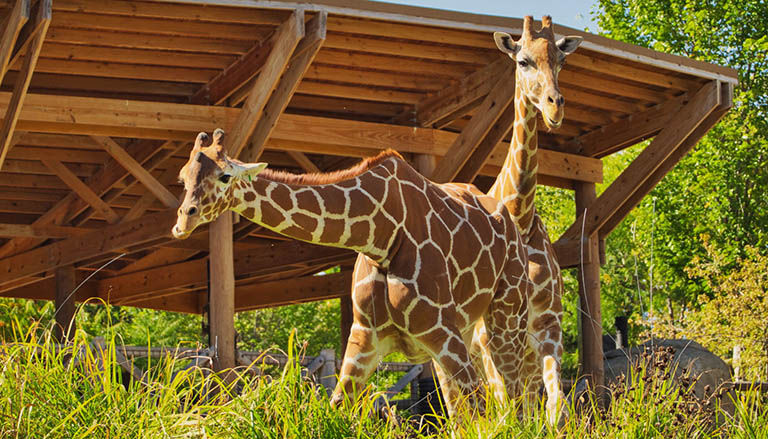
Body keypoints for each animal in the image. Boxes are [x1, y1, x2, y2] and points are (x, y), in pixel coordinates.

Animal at [172, 129, 532, 417]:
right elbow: (336, 410)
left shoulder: (442, 332)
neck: (382, 234)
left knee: (516, 399)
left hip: (506, 316)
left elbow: (483, 411)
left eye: (225, 176)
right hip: (469, 330)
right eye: (183, 177)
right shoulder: (365, 337)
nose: (183, 221)